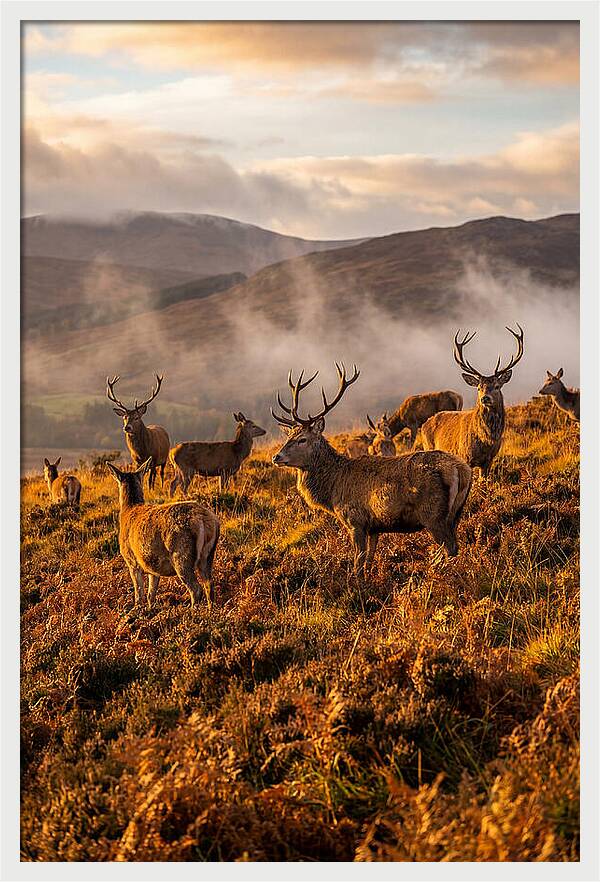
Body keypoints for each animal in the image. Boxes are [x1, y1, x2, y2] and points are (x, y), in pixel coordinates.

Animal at [106, 457, 220, 609]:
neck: (129, 509)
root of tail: (205, 521)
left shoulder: (131, 560)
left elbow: (139, 593)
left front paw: (138, 608)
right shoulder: (151, 566)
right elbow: (151, 594)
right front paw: (150, 608)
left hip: (181, 554)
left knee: (196, 588)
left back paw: (192, 611)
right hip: (208, 555)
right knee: (209, 584)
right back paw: (210, 610)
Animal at [271, 363, 472, 580]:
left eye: (302, 439)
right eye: (289, 436)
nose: (276, 457)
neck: (333, 490)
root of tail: (461, 469)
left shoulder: (355, 520)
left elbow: (358, 561)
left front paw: (356, 582)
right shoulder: (374, 526)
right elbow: (369, 559)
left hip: (433, 514)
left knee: (450, 548)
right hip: (456, 512)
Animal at [420, 325, 524, 478]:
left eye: (497, 386)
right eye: (479, 388)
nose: (485, 398)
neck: (486, 441)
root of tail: (424, 425)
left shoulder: (489, 460)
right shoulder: (465, 456)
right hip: (428, 447)